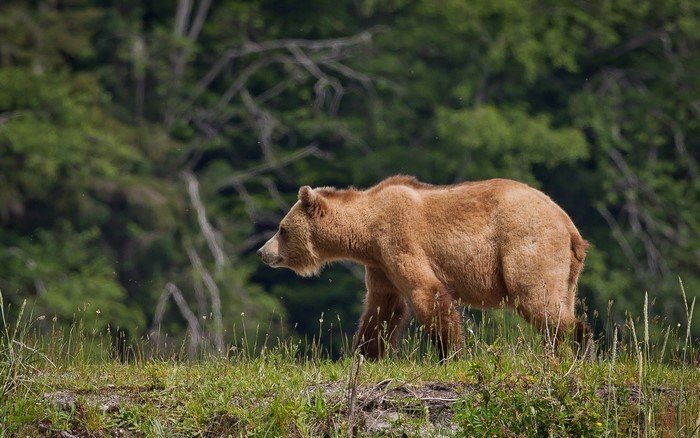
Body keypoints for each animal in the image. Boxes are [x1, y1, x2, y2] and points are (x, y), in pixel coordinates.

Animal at [257, 175, 589, 359]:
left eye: (282, 229)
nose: (263, 252)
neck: (366, 232)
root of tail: (570, 226)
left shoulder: (399, 239)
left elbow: (427, 292)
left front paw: (451, 353)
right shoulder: (380, 266)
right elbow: (381, 310)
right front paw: (363, 353)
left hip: (527, 242)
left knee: (537, 300)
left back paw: (580, 343)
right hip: (567, 270)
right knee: (559, 302)